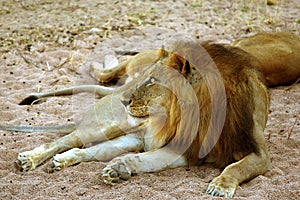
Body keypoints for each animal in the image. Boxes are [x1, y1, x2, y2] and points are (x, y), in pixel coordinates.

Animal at [0, 32, 298, 198]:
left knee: (86, 151)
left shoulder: (256, 153)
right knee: (64, 140)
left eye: (153, 81)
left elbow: (236, 166)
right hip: (107, 125)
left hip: (128, 138)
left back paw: (62, 162)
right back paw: (30, 159)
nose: (125, 100)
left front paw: (220, 185)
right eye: (145, 77)